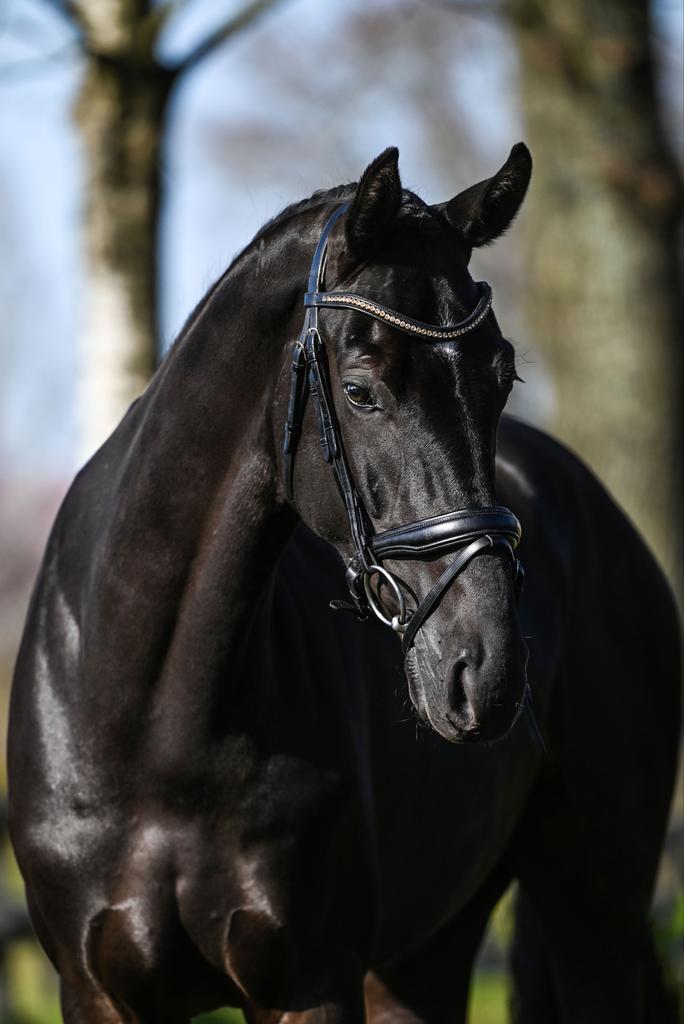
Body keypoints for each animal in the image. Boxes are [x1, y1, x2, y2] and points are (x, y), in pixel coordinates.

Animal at [8, 145, 680, 1023]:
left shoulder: (311, 982)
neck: (148, 716)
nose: (489, 671)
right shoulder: (98, 992)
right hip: (428, 948)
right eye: (361, 389)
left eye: (502, 379)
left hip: (595, 912)